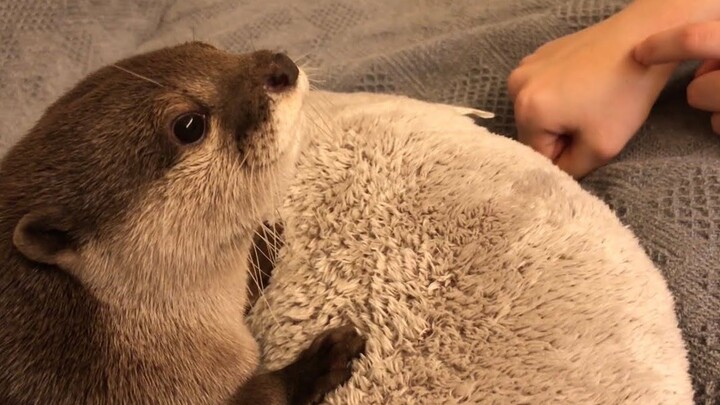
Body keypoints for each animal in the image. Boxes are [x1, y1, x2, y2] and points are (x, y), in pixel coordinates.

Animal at [0, 41, 366, 404]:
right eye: (188, 126)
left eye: (209, 48)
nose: (281, 66)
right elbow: (268, 394)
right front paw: (321, 362)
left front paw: (264, 243)